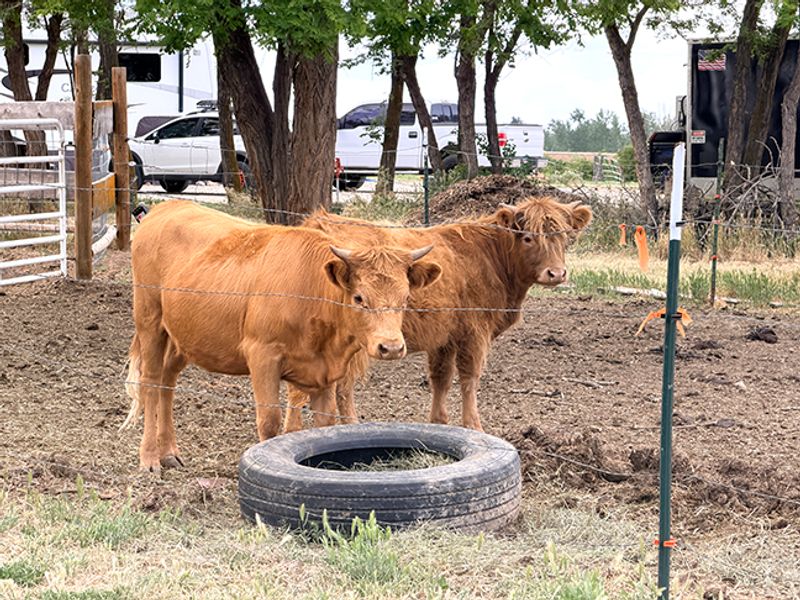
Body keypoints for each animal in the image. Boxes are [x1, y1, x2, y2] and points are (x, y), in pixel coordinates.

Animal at [121, 200, 442, 473]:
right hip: (149, 320)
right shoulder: (262, 356)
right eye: (359, 298)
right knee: (150, 382)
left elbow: (324, 424)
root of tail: (167, 207)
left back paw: (169, 452)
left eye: (405, 297)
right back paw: (149, 458)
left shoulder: (325, 371)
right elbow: (270, 421)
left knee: (167, 382)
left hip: (181, 337)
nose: (391, 347)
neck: (310, 290)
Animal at [284, 196, 592, 433]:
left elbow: (441, 378)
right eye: (528, 237)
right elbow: (469, 378)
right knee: (335, 388)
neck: (491, 258)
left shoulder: (444, 337)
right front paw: (474, 425)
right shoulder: (475, 333)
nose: (556, 273)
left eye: (564, 236)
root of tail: (316, 224)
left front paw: (439, 421)